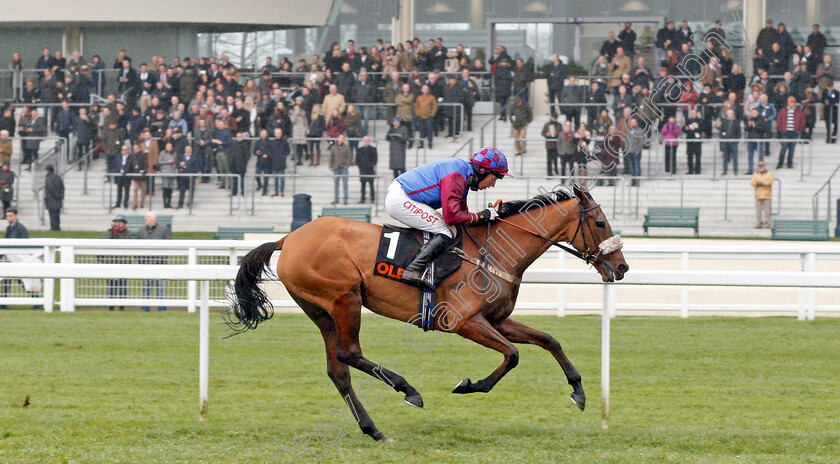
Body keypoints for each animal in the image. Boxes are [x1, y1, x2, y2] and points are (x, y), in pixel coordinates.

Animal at [226, 184, 628, 438]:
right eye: (600, 223)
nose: (622, 268)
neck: (496, 249)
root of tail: (289, 237)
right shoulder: (462, 321)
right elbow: (513, 355)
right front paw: (469, 385)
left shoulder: (496, 319)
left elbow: (548, 339)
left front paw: (579, 392)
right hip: (345, 299)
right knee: (349, 353)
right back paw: (407, 389)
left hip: (321, 310)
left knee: (338, 370)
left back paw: (373, 430)